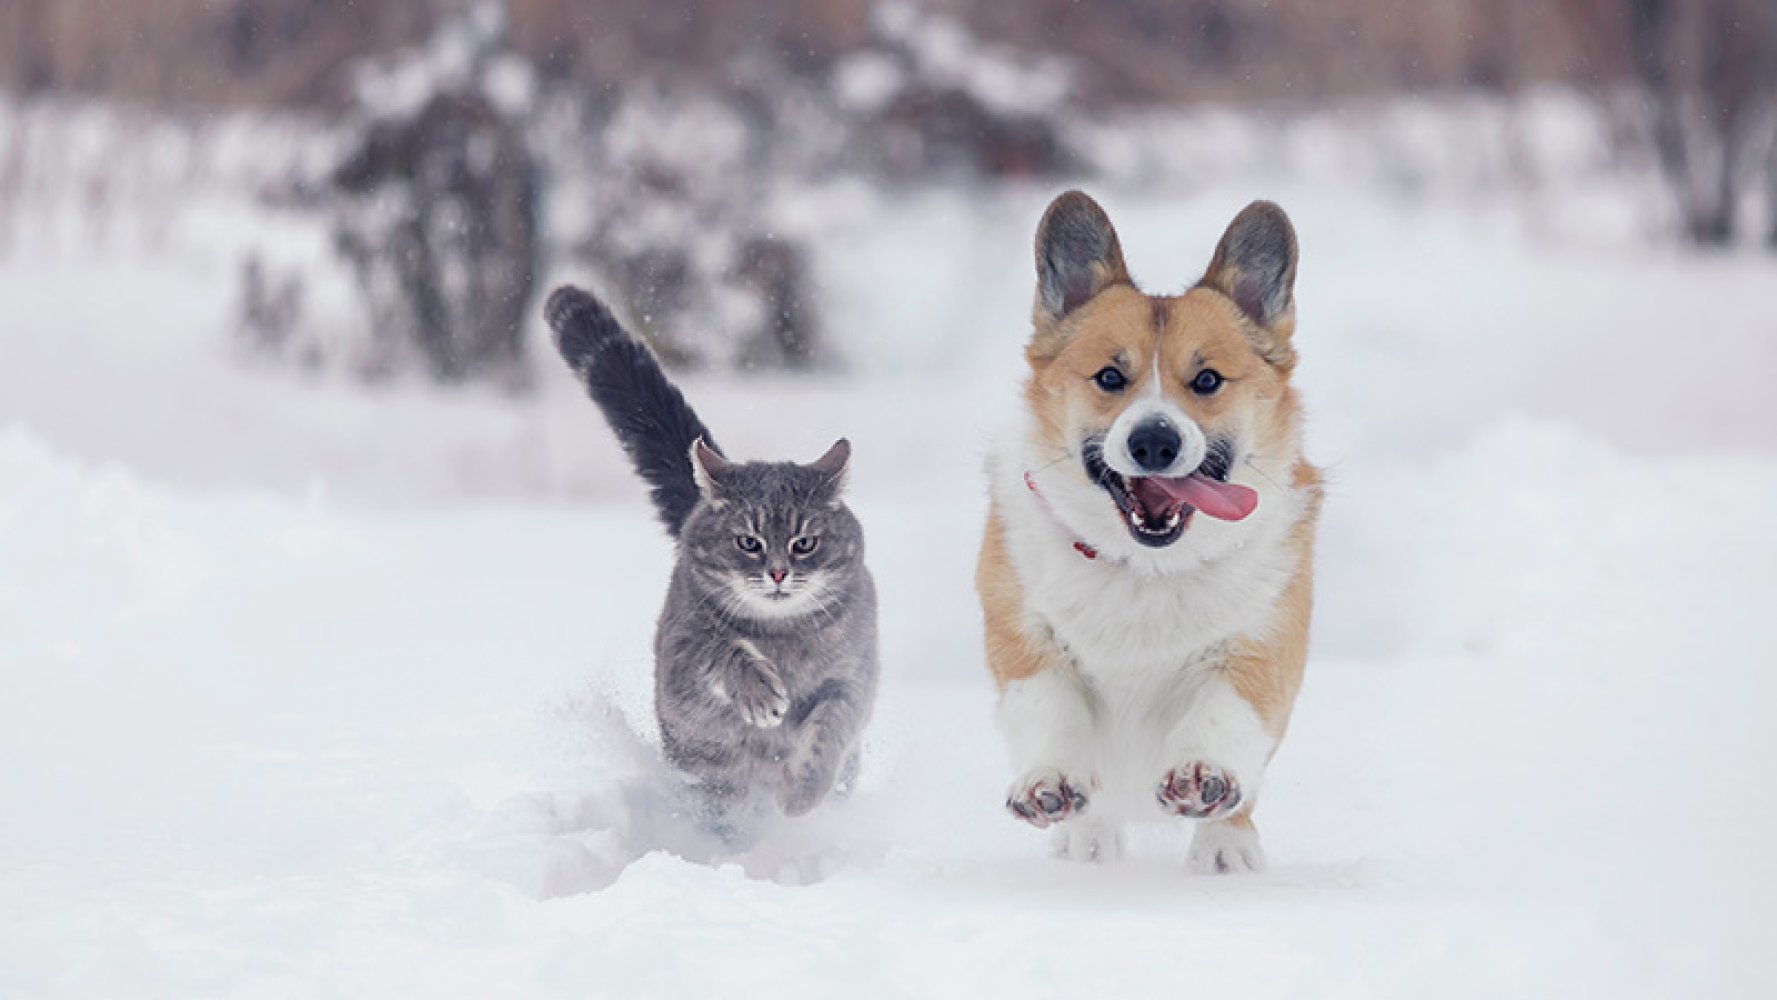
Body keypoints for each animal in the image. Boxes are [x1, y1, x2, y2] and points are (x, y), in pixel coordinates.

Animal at [536, 285, 877, 834]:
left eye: (804, 543)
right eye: (748, 542)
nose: (777, 572)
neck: (783, 640)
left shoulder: (852, 680)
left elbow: (829, 730)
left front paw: (802, 793)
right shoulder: (684, 649)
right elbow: (723, 650)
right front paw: (760, 694)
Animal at [980, 191, 1314, 873]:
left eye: (1207, 380)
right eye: (1110, 377)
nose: (1154, 441)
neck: (1147, 568)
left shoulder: (1263, 644)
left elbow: (1225, 716)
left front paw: (1203, 779)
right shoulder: (1023, 637)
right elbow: (1049, 707)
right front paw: (1050, 784)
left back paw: (1225, 847)